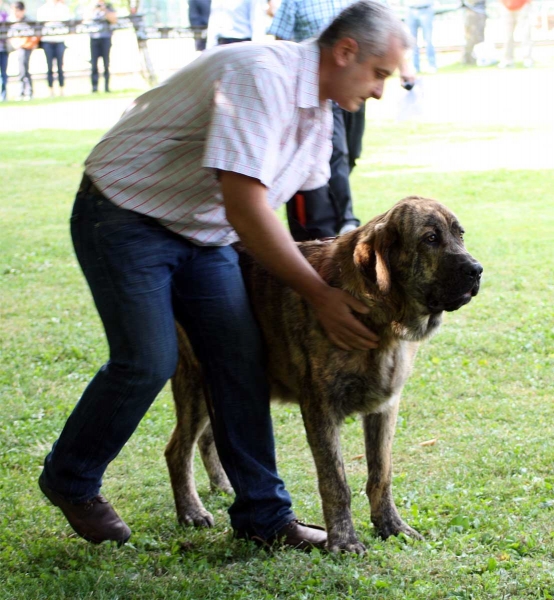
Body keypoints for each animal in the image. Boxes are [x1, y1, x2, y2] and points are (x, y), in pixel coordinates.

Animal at [166, 196, 480, 552]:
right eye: (430, 239)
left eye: (460, 234)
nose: (477, 270)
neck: (380, 318)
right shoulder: (320, 408)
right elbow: (335, 482)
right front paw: (343, 540)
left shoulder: (384, 408)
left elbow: (381, 474)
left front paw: (390, 525)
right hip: (196, 381)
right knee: (177, 451)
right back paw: (191, 511)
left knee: (207, 439)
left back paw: (221, 485)